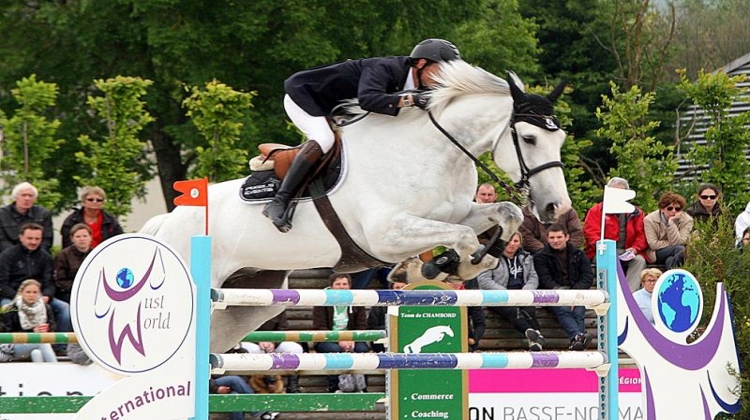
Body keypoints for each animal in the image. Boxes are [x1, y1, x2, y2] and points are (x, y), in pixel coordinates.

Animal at [142, 61, 568, 352]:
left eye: (560, 137)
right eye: (528, 138)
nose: (555, 208)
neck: (433, 149)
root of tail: (165, 222)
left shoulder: (452, 212)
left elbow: (505, 214)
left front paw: (446, 264)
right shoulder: (386, 235)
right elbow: (463, 237)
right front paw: (447, 265)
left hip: (248, 300)